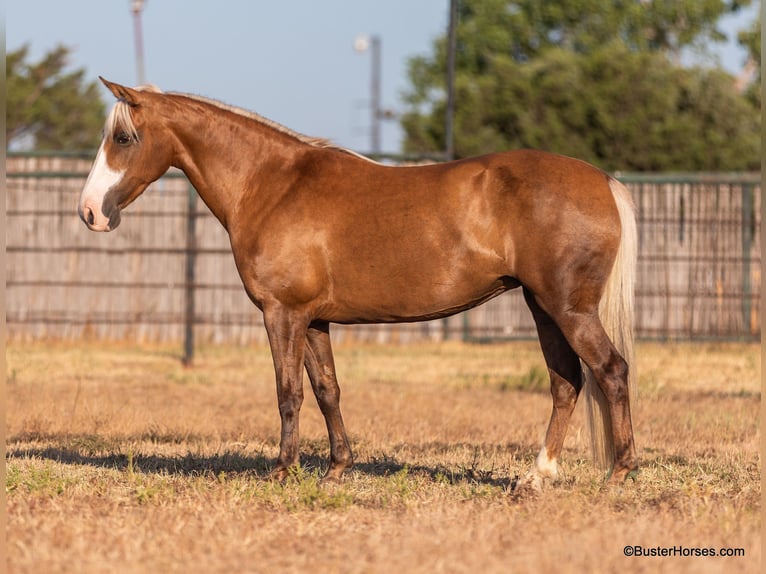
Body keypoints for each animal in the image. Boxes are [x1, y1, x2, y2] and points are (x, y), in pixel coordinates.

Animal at [79, 77, 640, 490]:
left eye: (123, 138)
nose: (90, 213)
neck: (272, 184)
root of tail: (603, 181)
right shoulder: (313, 320)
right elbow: (327, 389)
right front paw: (337, 468)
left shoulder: (282, 313)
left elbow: (288, 391)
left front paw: (282, 471)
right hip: (543, 307)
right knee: (566, 382)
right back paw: (536, 477)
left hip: (567, 308)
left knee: (610, 370)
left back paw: (617, 475)